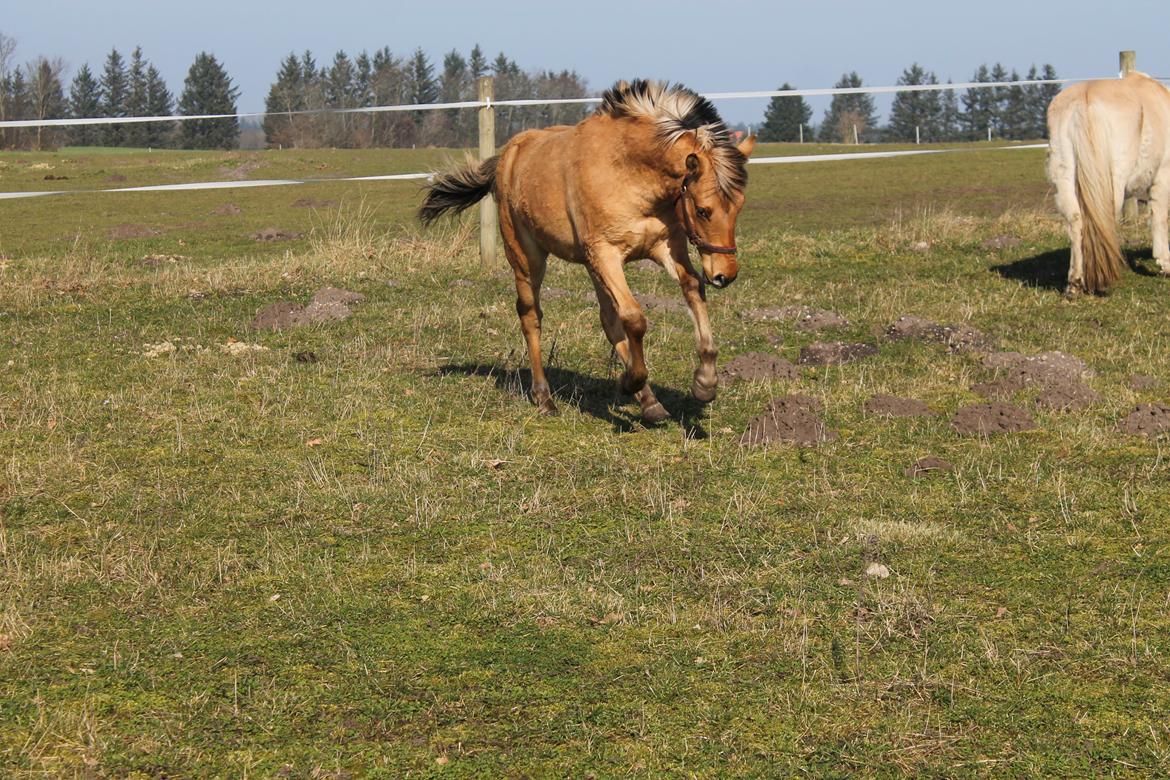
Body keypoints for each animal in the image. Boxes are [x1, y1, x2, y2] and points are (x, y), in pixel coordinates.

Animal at [423, 79, 758, 420]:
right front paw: (630, 381)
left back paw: (649, 402)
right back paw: (545, 397)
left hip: (589, 265)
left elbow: (691, 290)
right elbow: (634, 318)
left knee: (609, 320)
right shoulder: (606, 254)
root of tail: (507, 155)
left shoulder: (665, 247)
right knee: (531, 316)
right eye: (703, 210)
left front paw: (705, 383)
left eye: (739, 206)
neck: (630, 173)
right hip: (527, 257)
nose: (725, 274)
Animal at [1043, 72, 1170, 295]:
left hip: (1064, 176)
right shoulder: (1163, 174)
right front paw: (1165, 264)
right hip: (1113, 182)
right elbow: (1160, 218)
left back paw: (1075, 282)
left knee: (1076, 221)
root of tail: (1084, 99)